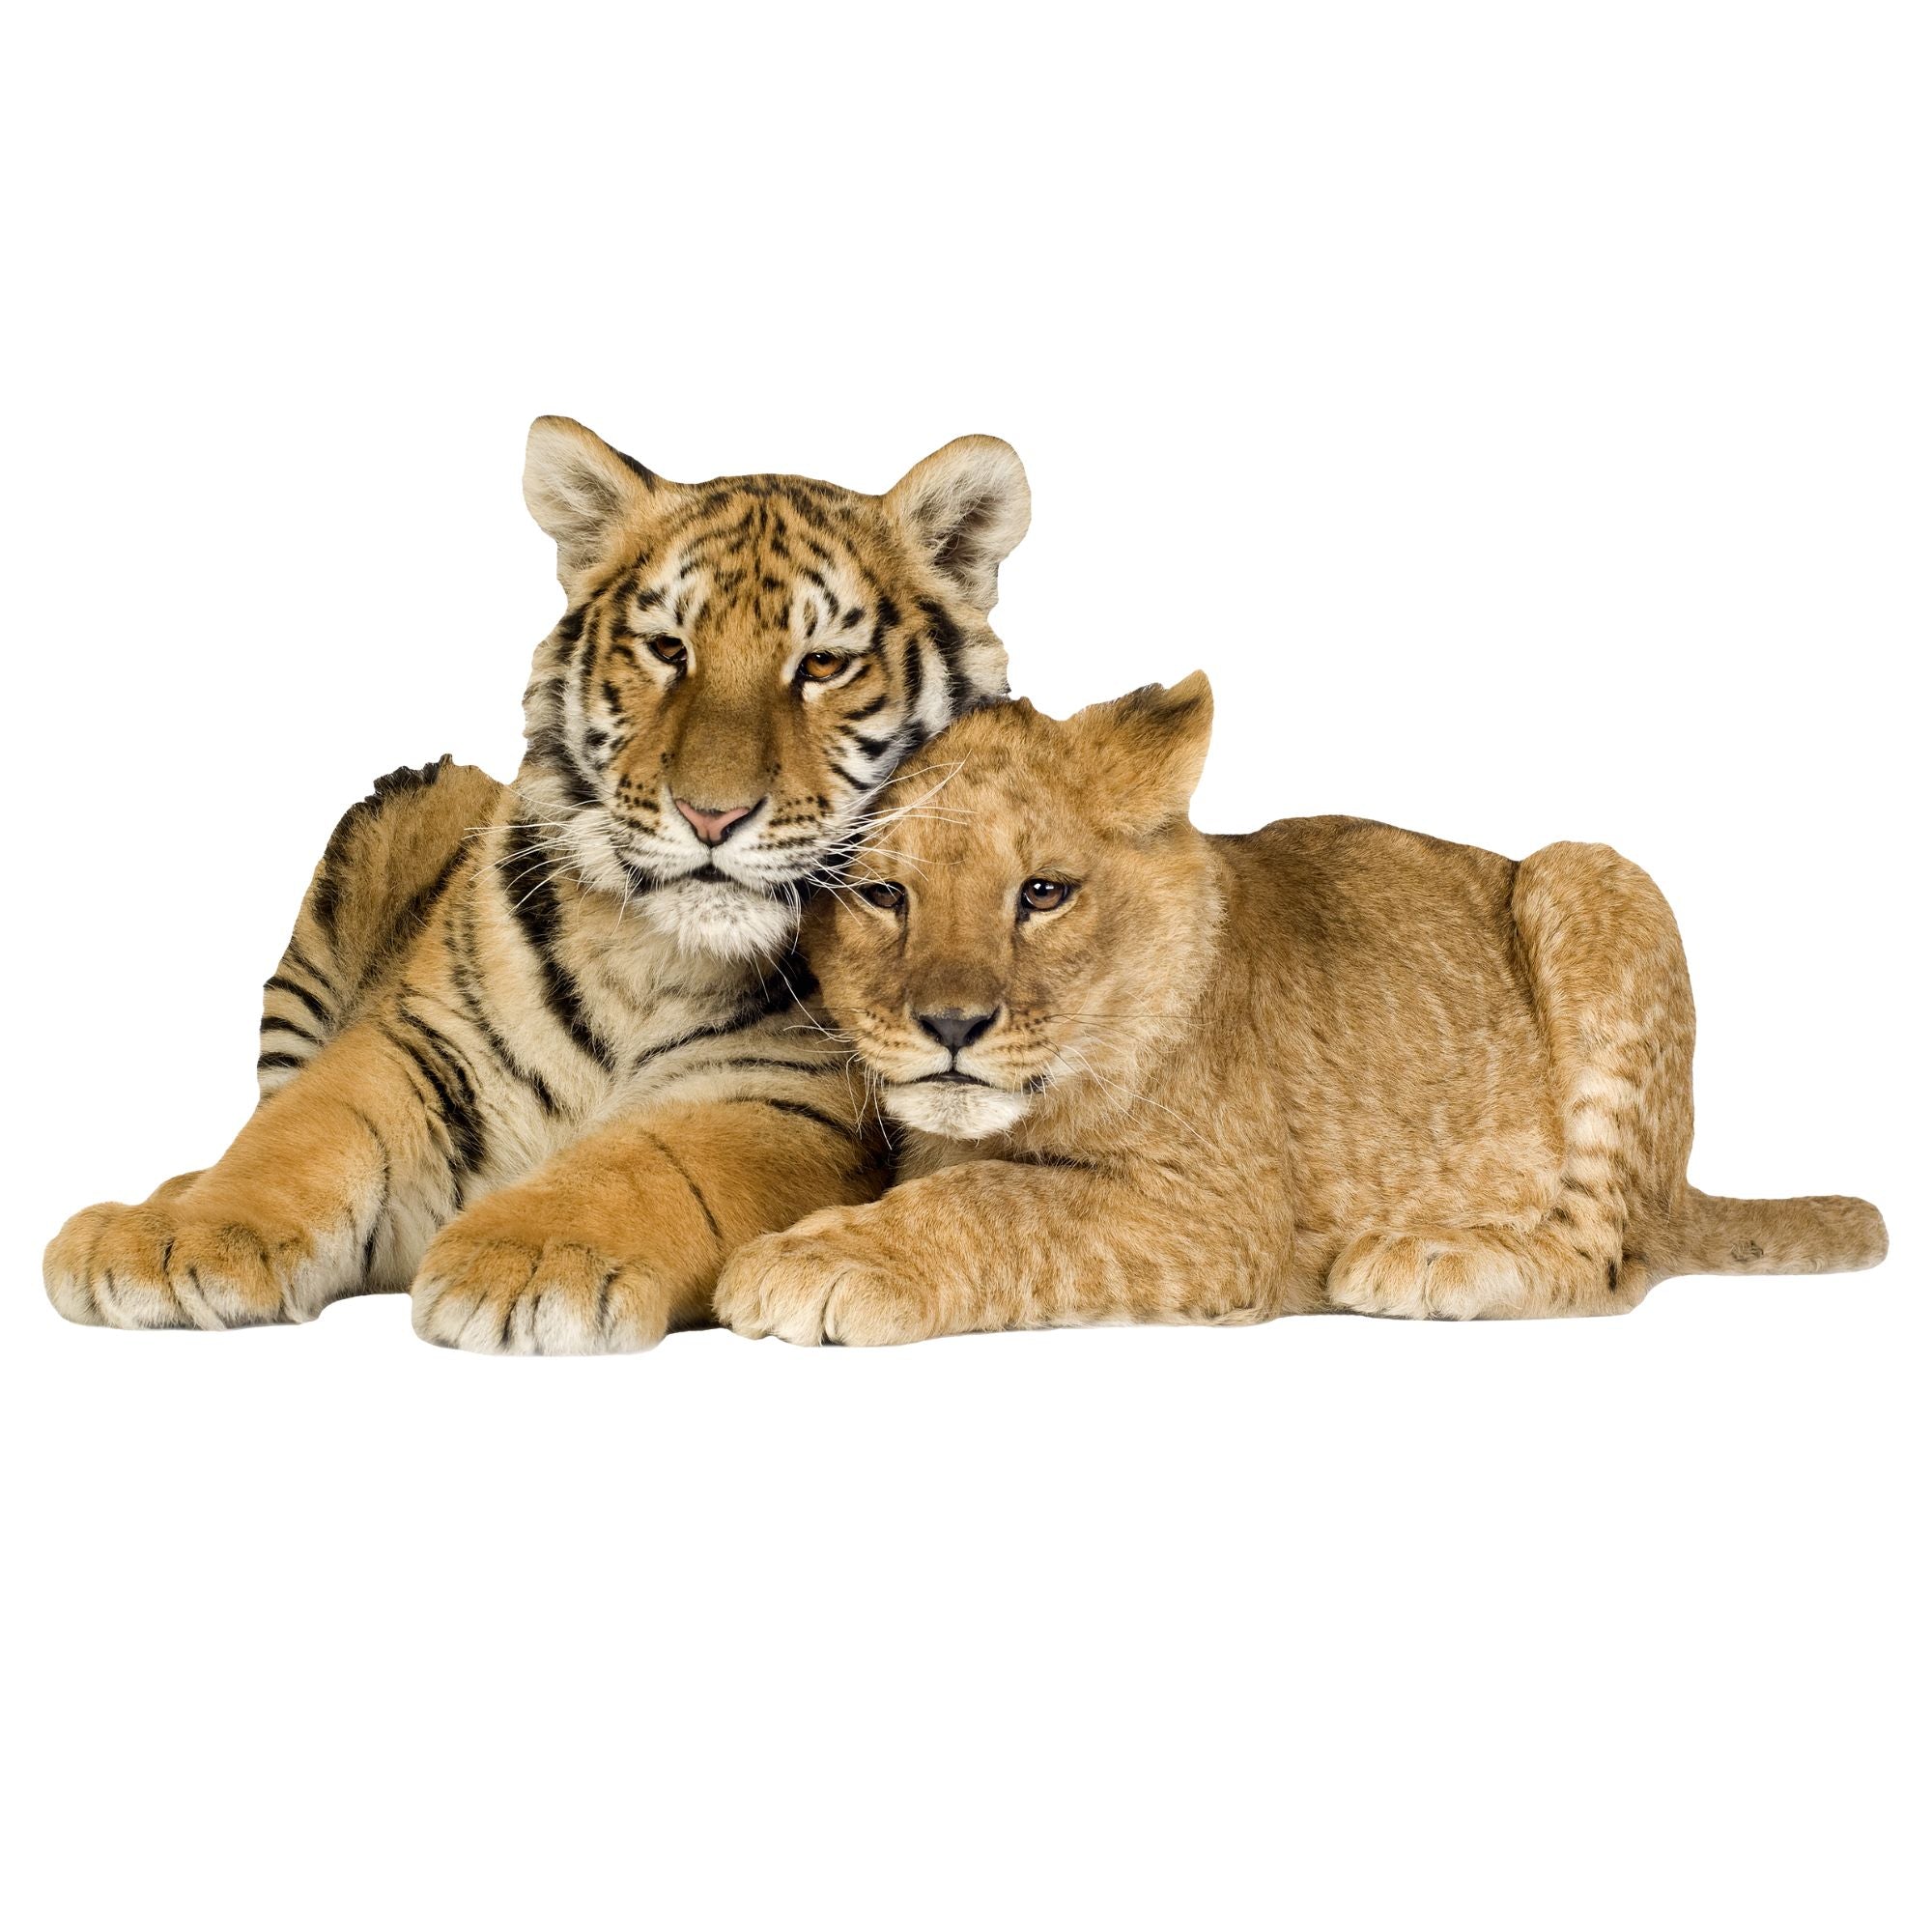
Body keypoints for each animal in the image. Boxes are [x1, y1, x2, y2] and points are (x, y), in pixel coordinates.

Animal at [44, 416, 1030, 1351]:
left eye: (823, 664)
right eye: (668, 649)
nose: (710, 816)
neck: (651, 952)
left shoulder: (784, 1102)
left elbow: (649, 1162)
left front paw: (531, 1258)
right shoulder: (415, 1043)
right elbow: (300, 1133)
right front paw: (174, 1238)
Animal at [712, 674, 1887, 1344]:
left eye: (1041, 892)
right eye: (881, 895)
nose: (952, 1026)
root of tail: (1684, 1185)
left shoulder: (1221, 1213)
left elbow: (1003, 1199)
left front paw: (819, 1261)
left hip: (1591, 874)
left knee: (1612, 1261)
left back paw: (1432, 1258)